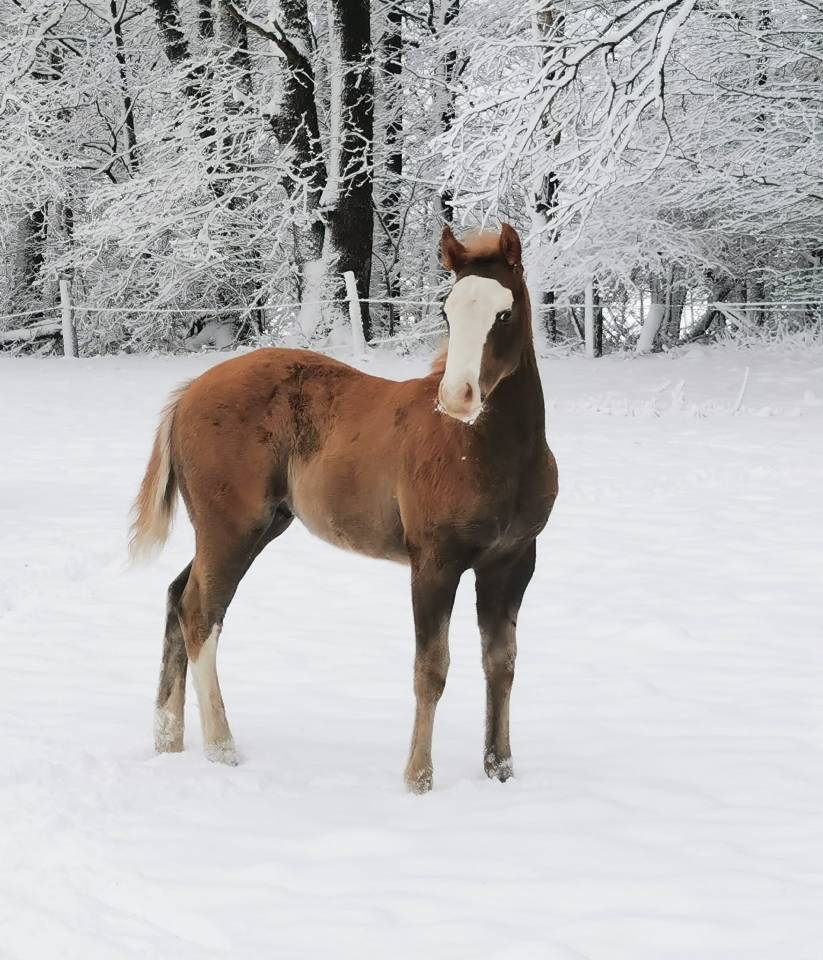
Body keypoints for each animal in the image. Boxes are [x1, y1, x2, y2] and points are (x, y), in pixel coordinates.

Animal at [130, 223, 558, 793]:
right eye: (448, 312)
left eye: (503, 313)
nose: (457, 397)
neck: (488, 452)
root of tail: (187, 394)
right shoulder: (434, 563)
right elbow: (431, 669)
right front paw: (418, 778)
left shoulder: (511, 563)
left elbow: (501, 663)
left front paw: (500, 770)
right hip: (232, 528)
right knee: (200, 613)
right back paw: (222, 749)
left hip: (253, 527)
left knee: (177, 597)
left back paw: (168, 740)